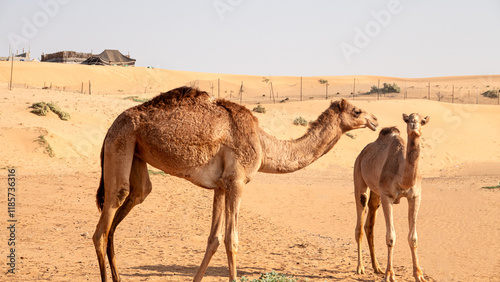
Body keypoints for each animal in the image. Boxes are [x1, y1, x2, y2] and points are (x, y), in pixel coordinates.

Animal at [92, 86, 376, 282]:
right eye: (357, 111)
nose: (375, 120)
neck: (263, 144)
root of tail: (111, 125)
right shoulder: (237, 182)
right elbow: (232, 239)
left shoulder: (220, 186)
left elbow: (214, 240)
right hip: (121, 140)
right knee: (103, 226)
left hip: (135, 153)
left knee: (134, 199)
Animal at [352, 113, 430, 282]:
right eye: (408, 120)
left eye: (422, 121)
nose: (413, 125)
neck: (403, 179)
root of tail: (362, 153)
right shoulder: (387, 196)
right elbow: (390, 237)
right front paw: (389, 275)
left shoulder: (415, 196)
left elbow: (413, 237)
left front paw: (419, 275)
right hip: (358, 176)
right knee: (360, 224)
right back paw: (360, 268)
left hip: (376, 193)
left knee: (369, 225)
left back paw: (377, 267)